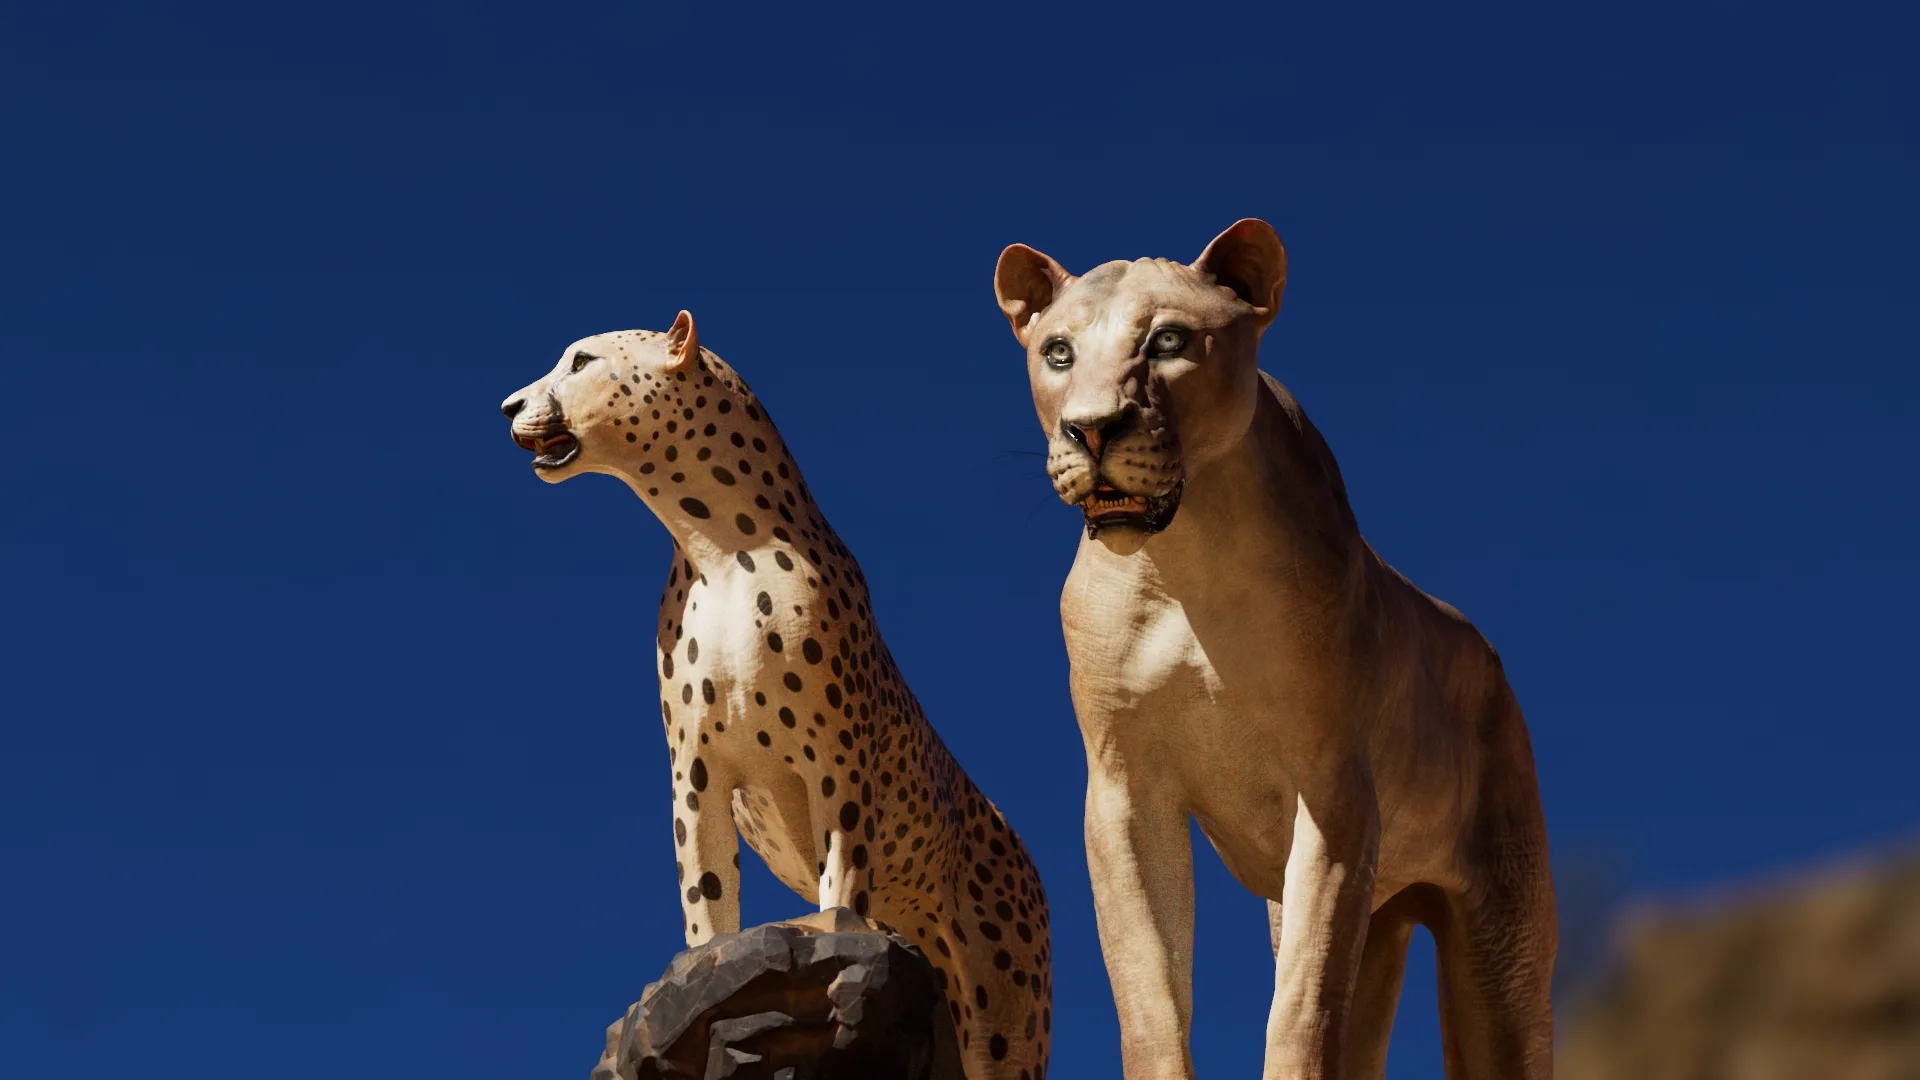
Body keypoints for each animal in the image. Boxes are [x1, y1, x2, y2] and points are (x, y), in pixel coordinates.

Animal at [500, 311, 1052, 1080]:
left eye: (580, 361)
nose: (510, 407)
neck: (720, 547)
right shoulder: (697, 771)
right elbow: (705, 893)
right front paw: (700, 975)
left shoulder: (836, 763)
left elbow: (838, 880)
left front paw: (828, 943)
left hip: (1003, 1021)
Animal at [991, 220, 1556, 1080]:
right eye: (1058, 352)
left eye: (1168, 341)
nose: (1090, 428)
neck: (1182, 560)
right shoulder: (1124, 787)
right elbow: (1150, 997)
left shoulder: (1333, 793)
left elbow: (1300, 1006)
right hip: (1373, 918)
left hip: (1501, 946)